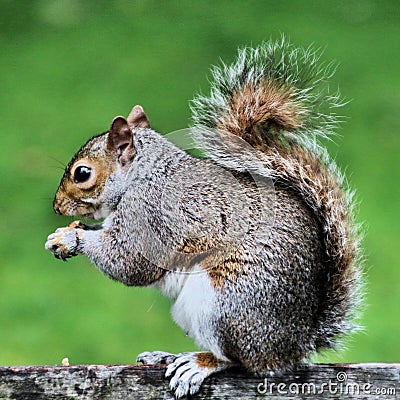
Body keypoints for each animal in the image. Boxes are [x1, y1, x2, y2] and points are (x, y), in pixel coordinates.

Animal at [46, 39, 362, 398]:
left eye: (82, 173)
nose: (57, 206)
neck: (142, 174)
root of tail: (295, 343)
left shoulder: (149, 215)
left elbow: (129, 263)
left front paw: (71, 238)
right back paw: (167, 356)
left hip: (225, 303)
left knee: (237, 360)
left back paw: (199, 364)